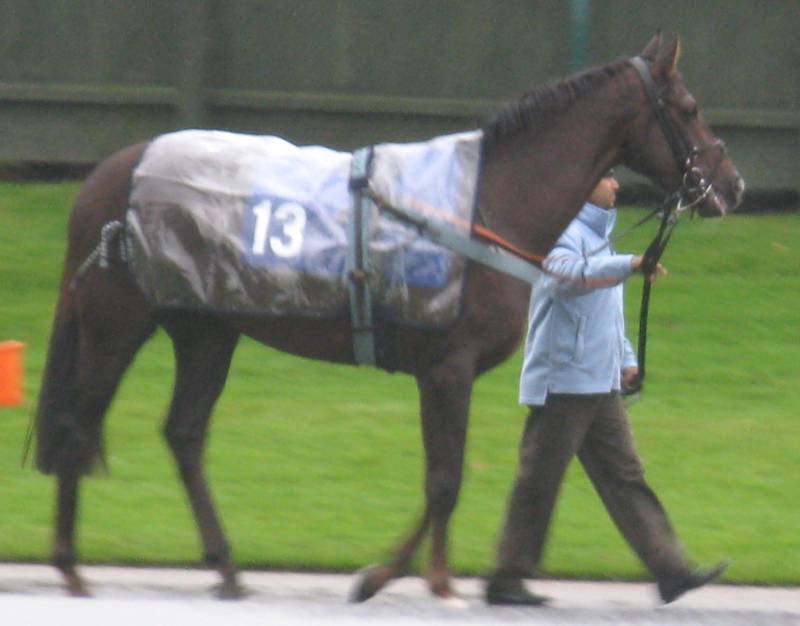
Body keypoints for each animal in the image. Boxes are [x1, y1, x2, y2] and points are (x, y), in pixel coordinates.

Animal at [33, 34, 744, 601]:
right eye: (689, 109)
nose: (732, 186)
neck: (484, 203)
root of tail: (106, 177)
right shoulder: (448, 368)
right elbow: (445, 481)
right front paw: (396, 578)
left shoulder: (445, 373)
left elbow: (447, 479)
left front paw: (424, 577)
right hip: (118, 326)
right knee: (80, 421)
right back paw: (69, 567)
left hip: (207, 331)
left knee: (183, 433)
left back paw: (226, 567)